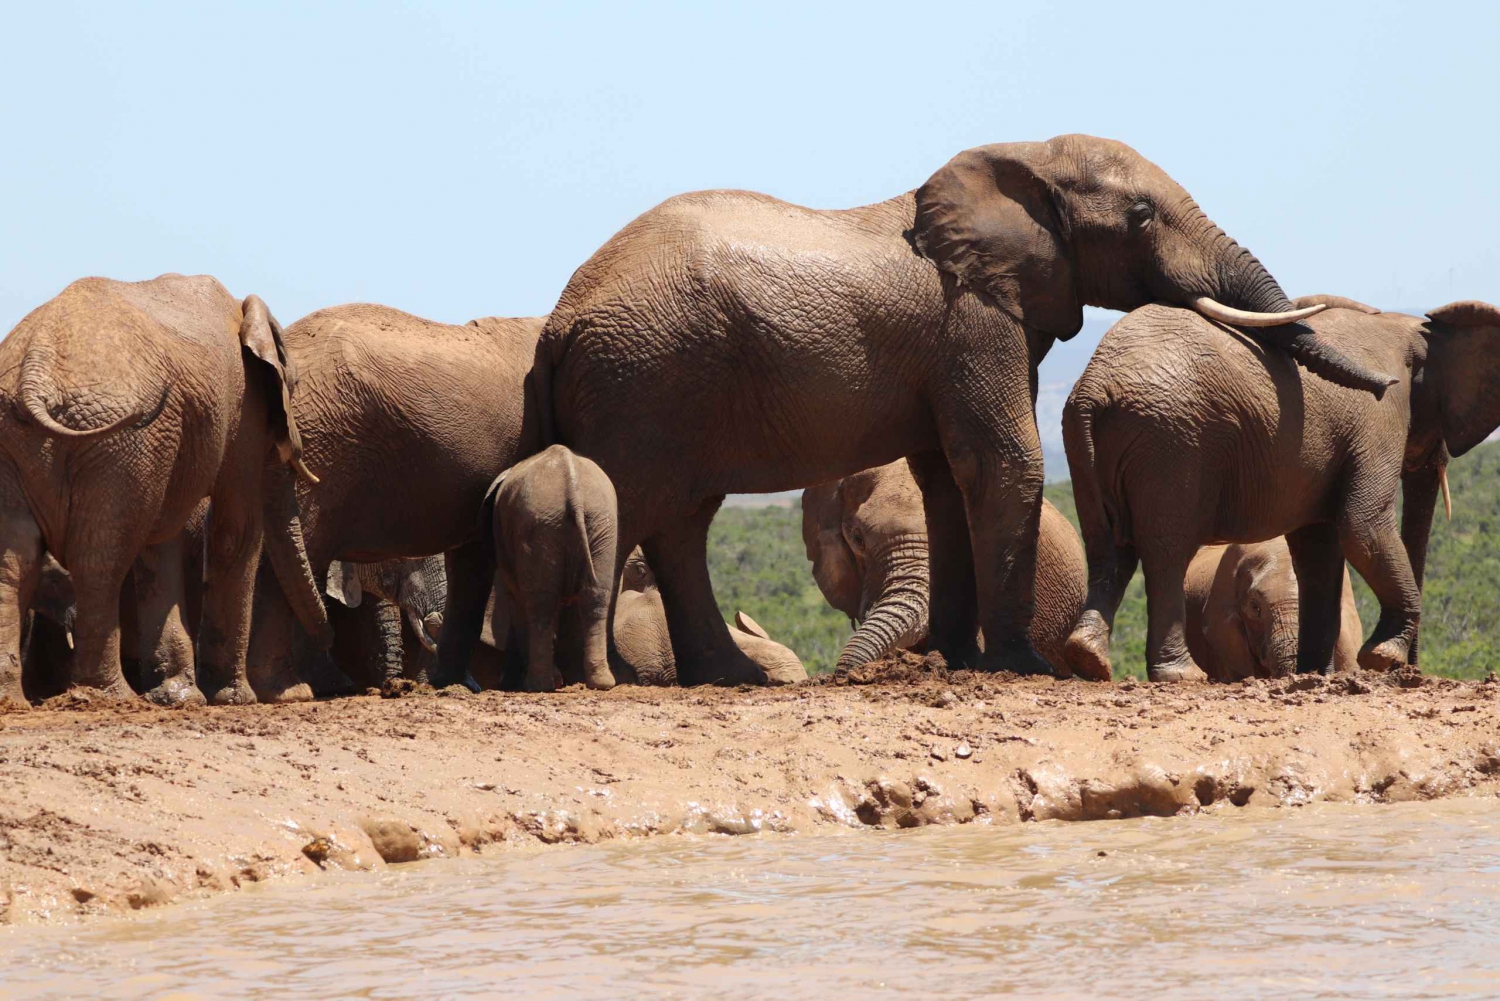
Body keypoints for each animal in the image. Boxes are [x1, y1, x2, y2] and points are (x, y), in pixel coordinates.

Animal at [0, 275, 328, 707]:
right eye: (294, 385)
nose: (327, 633)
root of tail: (35, 371)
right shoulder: (243, 408)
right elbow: (235, 531)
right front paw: (233, 699)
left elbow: (162, 538)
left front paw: (180, 698)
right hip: (118, 439)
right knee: (101, 558)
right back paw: (111, 696)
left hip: (29, 437)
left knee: (15, 558)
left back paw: (13, 700)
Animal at [481, 445, 617, 692]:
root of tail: (572, 487)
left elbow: (517, 598)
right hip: (597, 523)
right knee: (595, 598)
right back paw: (601, 683)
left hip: (540, 526)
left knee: (539, 603)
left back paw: (538, 685)